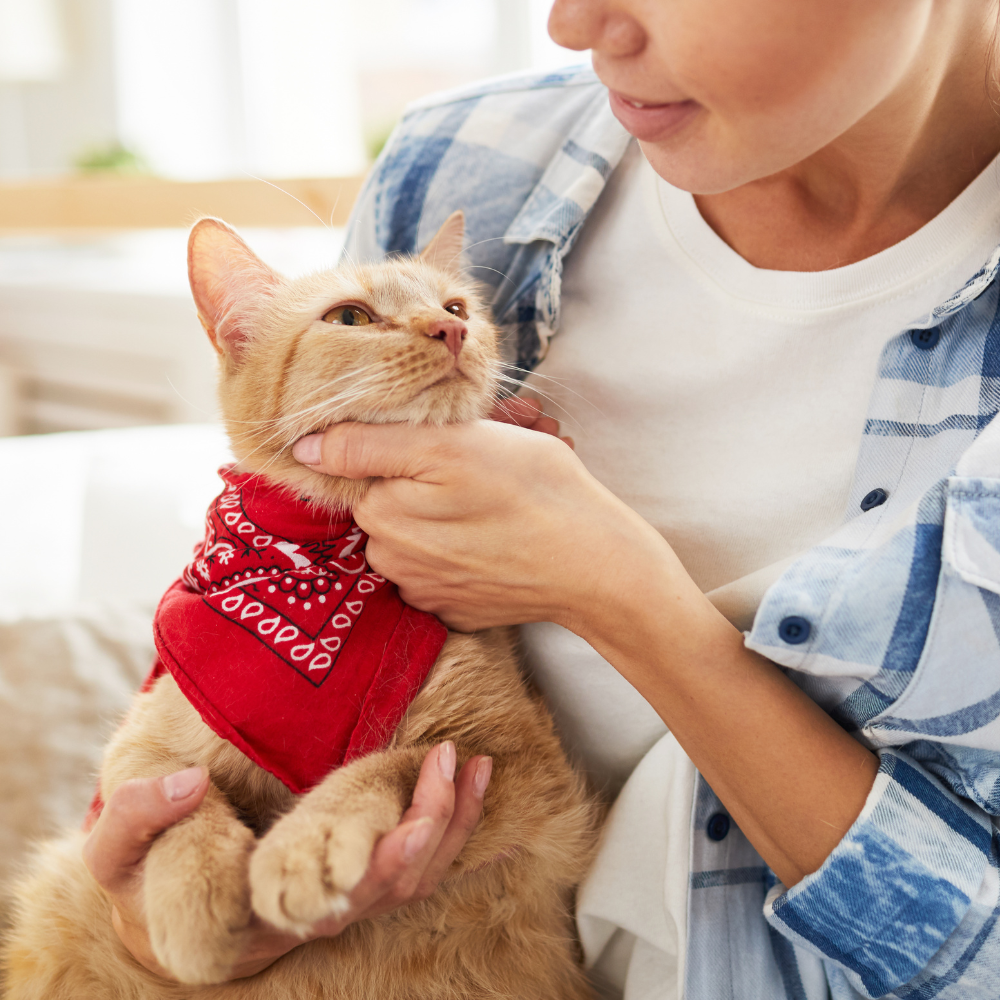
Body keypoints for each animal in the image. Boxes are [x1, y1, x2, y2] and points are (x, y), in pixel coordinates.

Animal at [1, 215, 600, 996]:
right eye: (350, 318)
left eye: (456, 306)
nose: (450, 330)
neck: (322, 561)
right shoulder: (143, 740)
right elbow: (176, 798)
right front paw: (196, 896)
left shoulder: (523, 764)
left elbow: (392, 765)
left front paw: (309, 843)